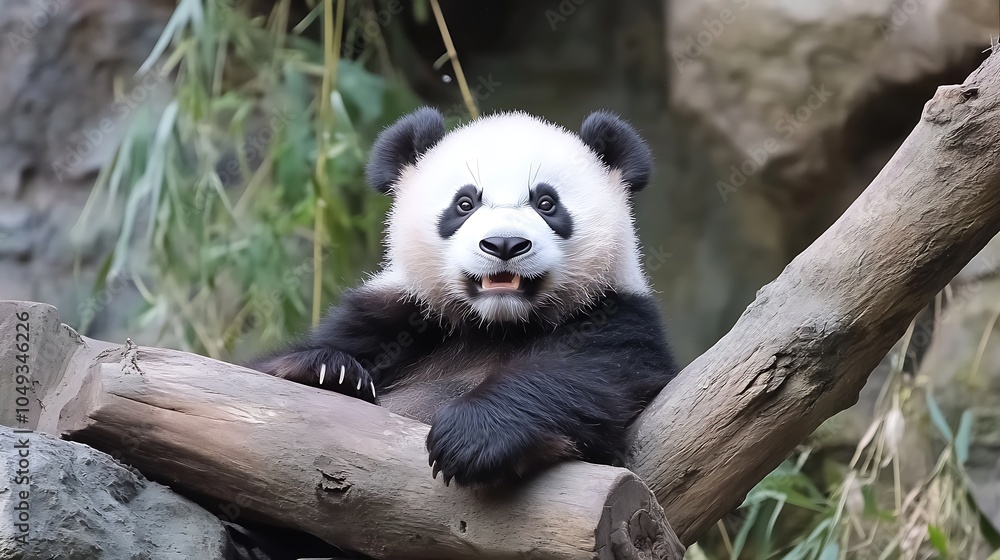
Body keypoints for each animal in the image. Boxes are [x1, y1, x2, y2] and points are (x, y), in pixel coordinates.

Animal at [249, 107, 678, 487]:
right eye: (465, 203)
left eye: (546, 203)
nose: (504, 244)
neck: (496, 324)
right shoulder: (394, 314)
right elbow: (263, 372)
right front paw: (328, 372)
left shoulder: (617, 316)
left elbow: (584, 376)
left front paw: (473, 437)